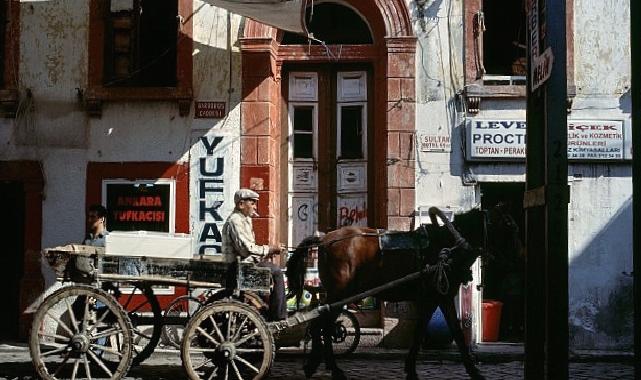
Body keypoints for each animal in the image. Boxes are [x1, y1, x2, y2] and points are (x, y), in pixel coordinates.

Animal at [288, 206, 524, 378]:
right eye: (509, 225)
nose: (520, 258)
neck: (449, 244)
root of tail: (324, 240)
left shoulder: (438, 298)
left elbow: (439, 332)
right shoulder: (435, 298)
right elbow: (437, 332)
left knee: (321, 325)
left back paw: (316, 365)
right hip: (341, 294)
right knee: (323, 326)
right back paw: (331, 368)